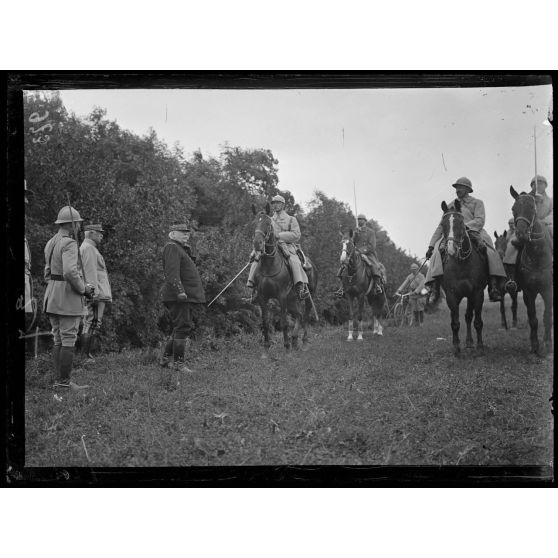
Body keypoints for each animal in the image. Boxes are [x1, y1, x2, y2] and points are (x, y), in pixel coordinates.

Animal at [250, 205, 318, 354]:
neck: (269, 265)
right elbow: (265, 322)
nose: (257, 244)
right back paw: (294, 340)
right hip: (292, 300)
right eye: (254, 223)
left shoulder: (281, 296)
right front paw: (266, 348)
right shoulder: (262, 296)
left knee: (305, 316)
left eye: (268, 224)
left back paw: (303, 342)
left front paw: (286, 347)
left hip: (307, 297)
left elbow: (284, 322)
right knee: (299, 315)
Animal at [440, 202, 488, 358]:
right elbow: (455, 323)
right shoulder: (451, 295)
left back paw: (470, 342)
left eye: (461, 223)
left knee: (468, 316)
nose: (451, 249)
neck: (463, 263)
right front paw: (456, 348)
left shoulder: (477, 293)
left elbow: (477, 321)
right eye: (442, 224)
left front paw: (480, 347)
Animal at [512, 187, 556, 354]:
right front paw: (534, 344)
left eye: (531, 207)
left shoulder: (548, 290)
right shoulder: (528, 292)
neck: (537, 255)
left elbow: (547, 316)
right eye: (513, 209)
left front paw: (548, 344)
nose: (521, 234)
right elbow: (533, 319)